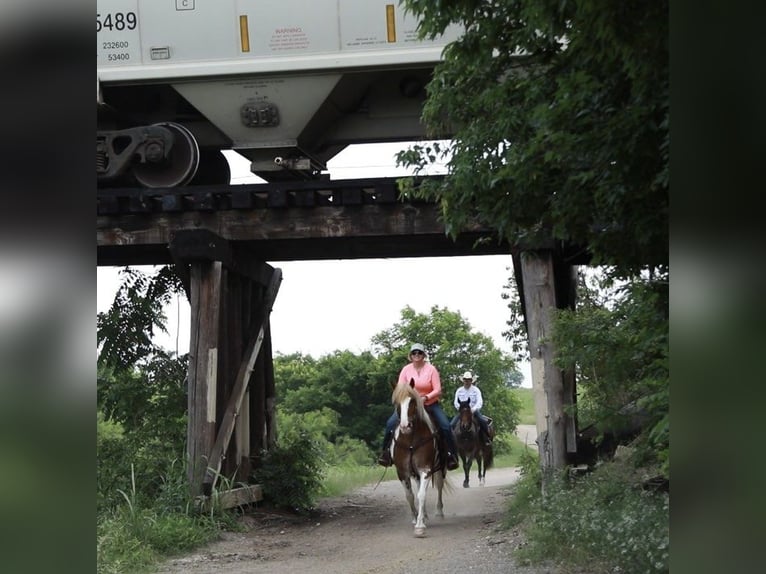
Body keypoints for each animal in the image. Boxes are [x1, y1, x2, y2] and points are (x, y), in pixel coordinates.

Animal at [390, 379, 447, 537]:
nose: (405, 426)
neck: (410, 440)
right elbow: (410, 495)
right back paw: (424, 515)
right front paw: (416, 518)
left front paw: (420, 527)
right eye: (396, 402)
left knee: (439, 485)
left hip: (440, 469)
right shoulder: (402, 472)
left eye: (412, 401)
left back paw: (438, 512)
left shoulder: (425, 469)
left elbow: (421, 495)